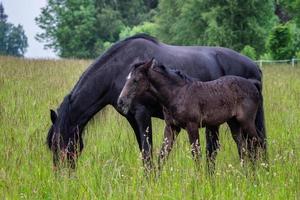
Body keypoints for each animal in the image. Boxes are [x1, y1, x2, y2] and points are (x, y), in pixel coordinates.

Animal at [117, 59, 262, 169]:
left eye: (136, 80)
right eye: (127, 78)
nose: (121, 101)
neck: (176, 94)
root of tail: (252, 84)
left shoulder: (192, 126)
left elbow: (196, 154)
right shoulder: (172, 127)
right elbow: (163, 154)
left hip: (246, 121)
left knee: (256, 143)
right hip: (234, 123)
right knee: (242, 147)